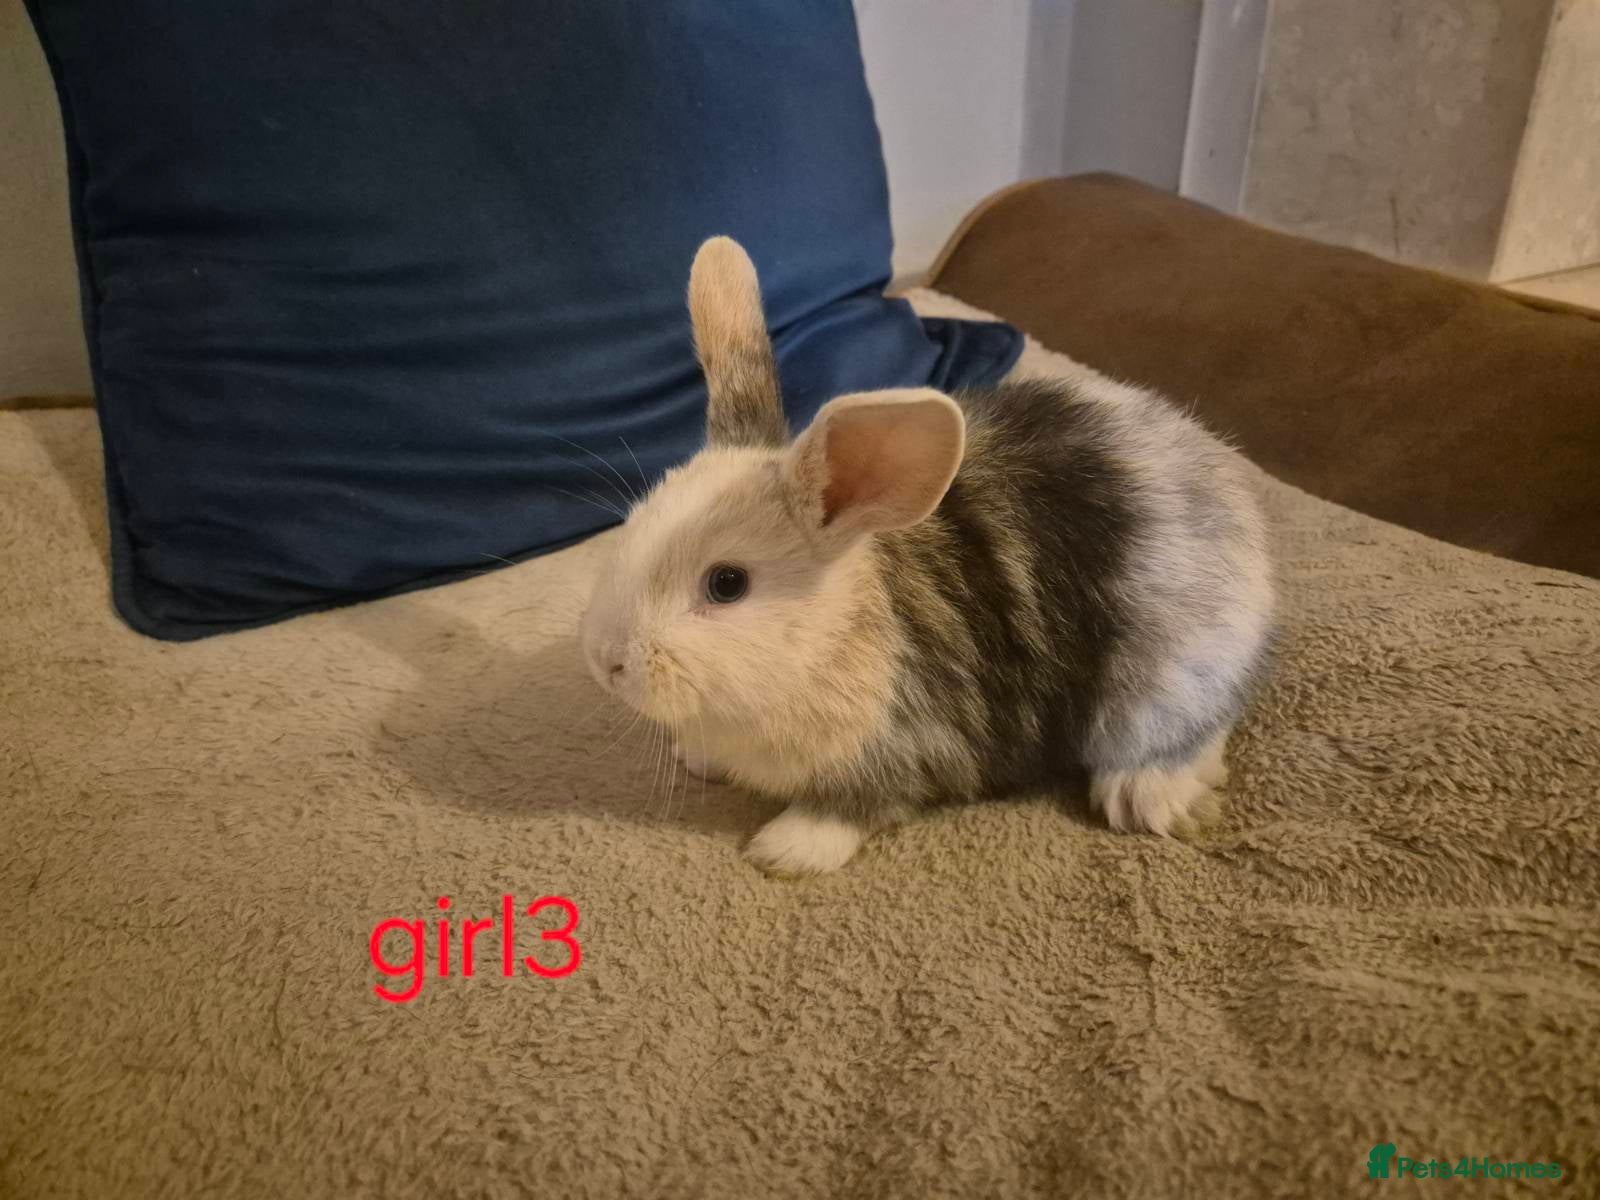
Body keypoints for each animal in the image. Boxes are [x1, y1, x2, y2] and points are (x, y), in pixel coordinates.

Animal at [579, 236, 1274, 876]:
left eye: (727, 583)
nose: (607, 663)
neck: (836, 635)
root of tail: (1237, 498)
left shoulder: (910, 748)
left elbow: (857, 808)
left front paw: (785, 850)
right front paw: (696, 757)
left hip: (1167, 680)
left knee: (1195, 732)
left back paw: (1149, 798)